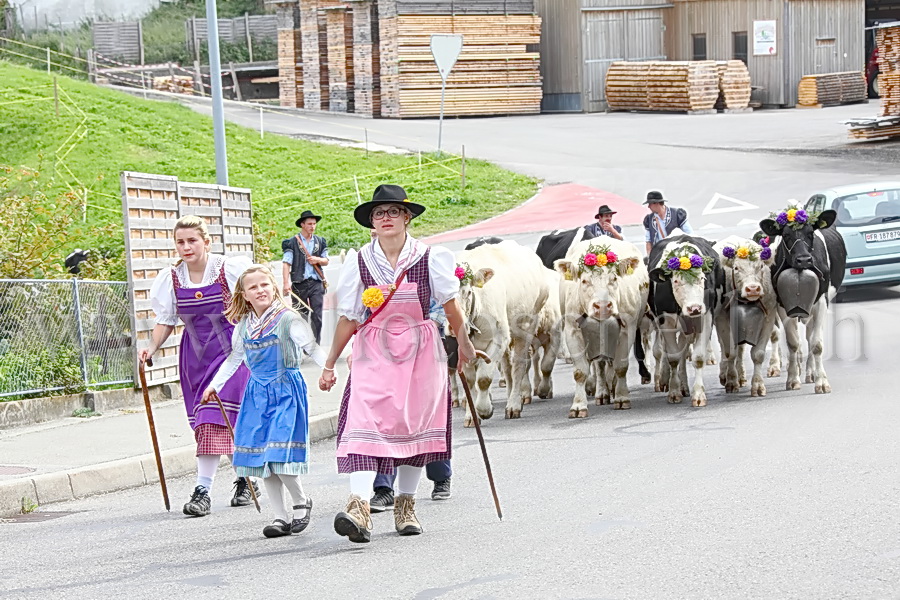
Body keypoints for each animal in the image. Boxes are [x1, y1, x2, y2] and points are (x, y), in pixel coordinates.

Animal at [458, 240, 548, 426]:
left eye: (468, 292)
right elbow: (469, 382)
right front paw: (472, 415)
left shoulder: (498, 339)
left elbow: (483, 379)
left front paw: (484, 410)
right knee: (507, 369)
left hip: (525, 327)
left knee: (519, 366)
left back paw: (514, 405)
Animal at [548, 236, 648, 418]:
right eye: (584, 280)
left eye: (614, 279)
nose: (602, 306)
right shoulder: (572, 330)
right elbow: (580, 371)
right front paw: (578, 405)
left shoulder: (627, 328)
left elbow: (621, 366)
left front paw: (622, 397)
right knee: (600, 365)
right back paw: (602, 392)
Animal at [648, 234, 724, 408]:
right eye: (676, 281)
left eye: (702, 278)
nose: (694, 308)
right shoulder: (665, 322)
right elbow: (673, 357)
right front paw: (674, 392)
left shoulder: (705, 317)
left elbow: (698, 357)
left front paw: (698, 395)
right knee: (669, 351)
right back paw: (667, 380)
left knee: (683, 350)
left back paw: (684, 386)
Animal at [712, 236, 776, 398]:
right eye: (736, 268)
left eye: (760, 266)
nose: (753, 289)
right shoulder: (722, 318)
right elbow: (729, 352)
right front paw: (731, 381)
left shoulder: (769, 316)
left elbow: (758, 354)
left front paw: (758, 385)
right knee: (725, 347)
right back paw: (725, 374)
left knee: (740, 349)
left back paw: (741, 376)